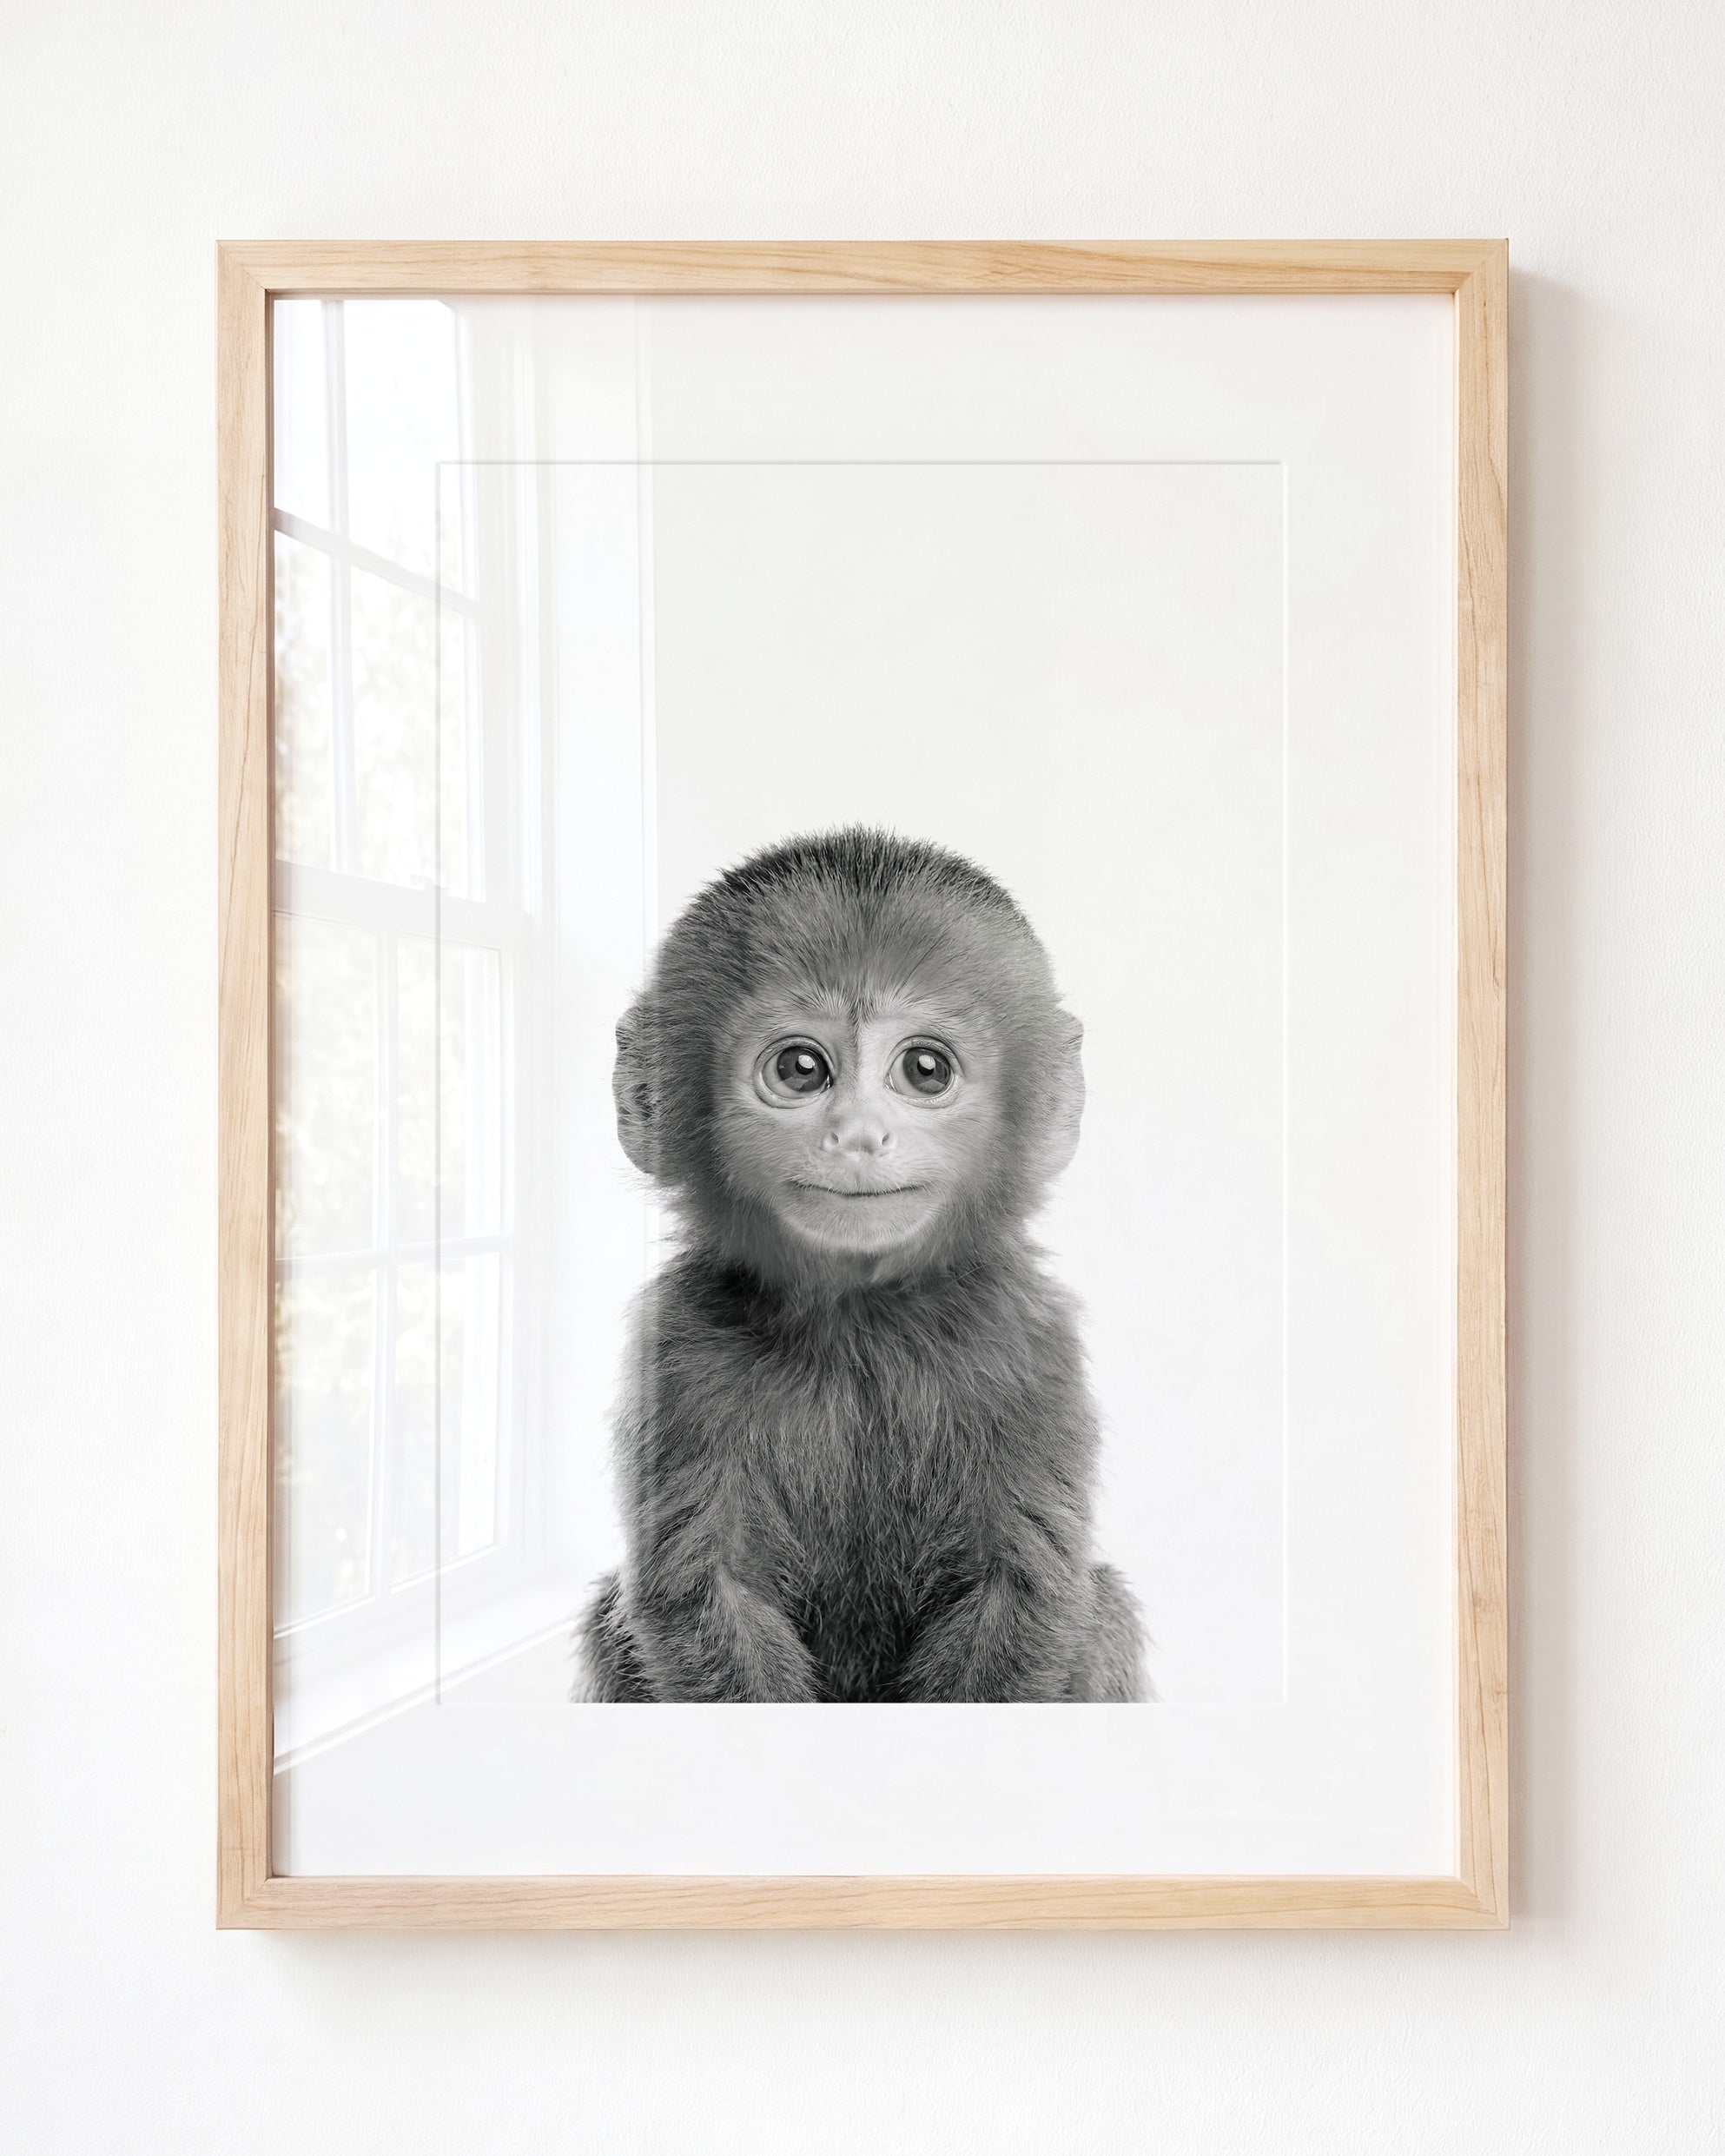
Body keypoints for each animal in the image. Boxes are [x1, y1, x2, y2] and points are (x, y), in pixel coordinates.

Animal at [574, 826, 1144, 1703]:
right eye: (801, 1069)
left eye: (925, 1070)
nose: (859, 1135)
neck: (861, 1324)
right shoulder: (676, 1351)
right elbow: (702, 1593)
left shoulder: (1030, 1343)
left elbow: (1021, 1590)